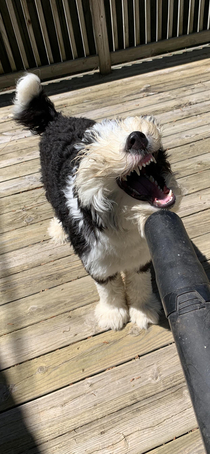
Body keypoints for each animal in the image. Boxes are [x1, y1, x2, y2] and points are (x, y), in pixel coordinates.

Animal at [13, 72, 180, 332]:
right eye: (96, 147)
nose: (136, 137)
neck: (122, 220)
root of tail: (57, 120)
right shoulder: (96, 259)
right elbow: (108, 288)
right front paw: (113, 315)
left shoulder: (140, 255)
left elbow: (139, 282)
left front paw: (142, 310)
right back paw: (58, 230)